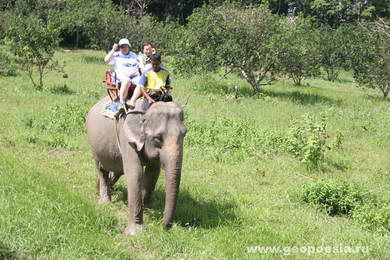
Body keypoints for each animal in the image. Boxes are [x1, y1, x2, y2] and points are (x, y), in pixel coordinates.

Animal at [86, 97, 187, 236]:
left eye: (185, 134)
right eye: (157, 138)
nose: (165, 226)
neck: (144, 111)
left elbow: (153, 173)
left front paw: (147, 207)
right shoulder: (127, 139)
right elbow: (135, 173)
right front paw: (135, 232)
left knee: (116, 170)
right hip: (94, 144)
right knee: (102, 169)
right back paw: (105, 203)